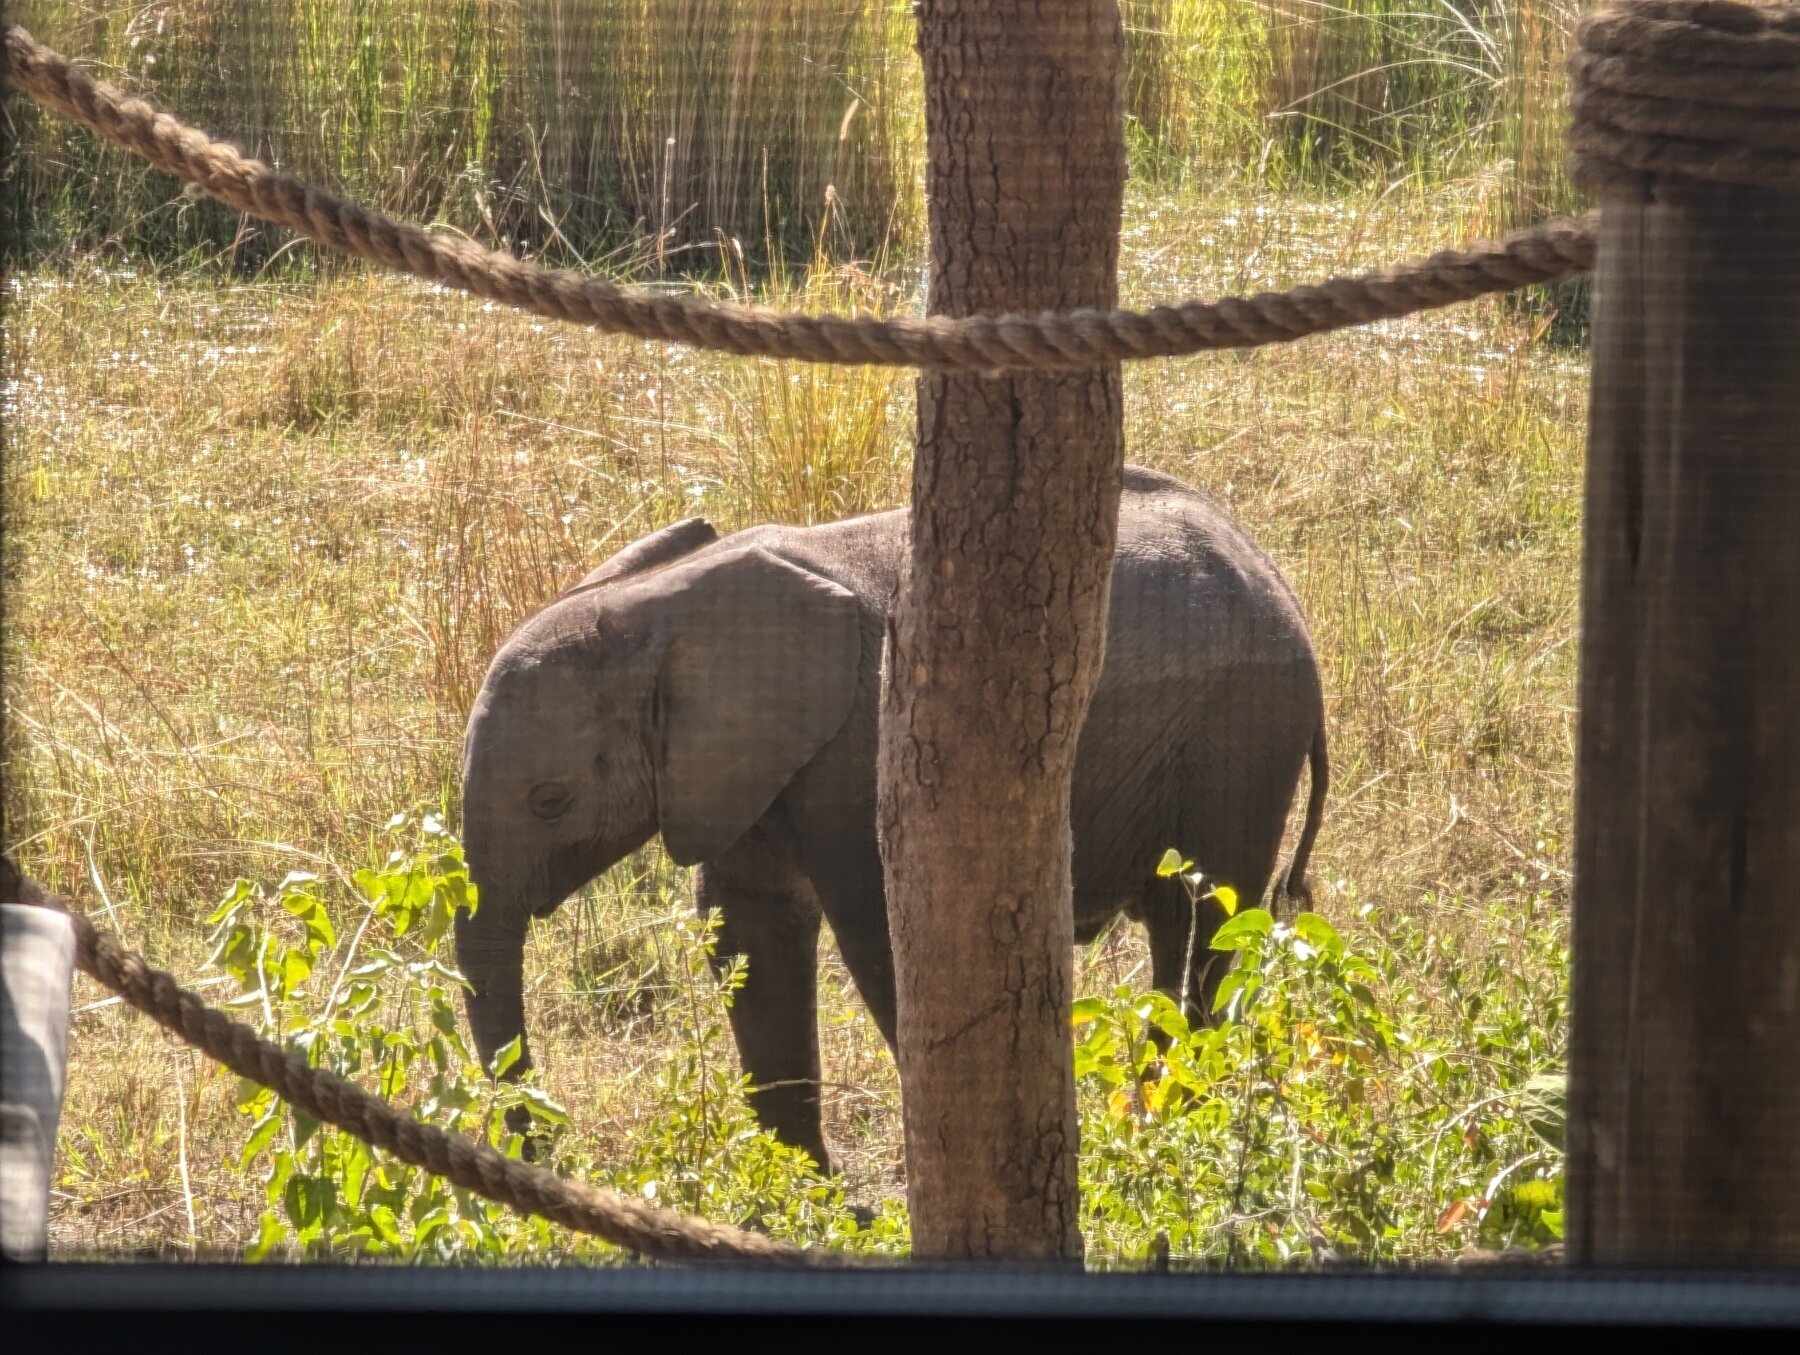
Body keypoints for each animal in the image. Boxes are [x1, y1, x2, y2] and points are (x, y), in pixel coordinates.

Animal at [456, 464, 1328, 1171]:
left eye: (549, 800)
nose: (546, 1145)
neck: (662, 604)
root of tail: (1280, 582)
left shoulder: (861, 751)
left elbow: (881, 936)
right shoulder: (745, 769)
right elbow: (748, 934)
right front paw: (805, 1197)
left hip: (1241, 731)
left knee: (1204, 924)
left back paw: (1172, 1126)